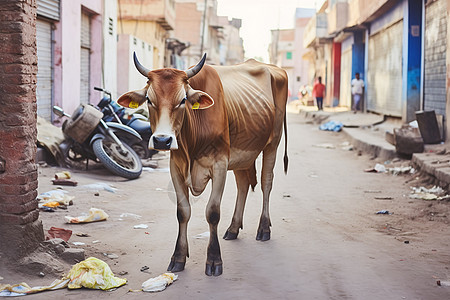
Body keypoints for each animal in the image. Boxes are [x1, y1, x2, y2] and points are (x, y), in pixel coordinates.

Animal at [118, 52, 288, 276]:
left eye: (183, 100)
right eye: (149, 99)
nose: (162, 140)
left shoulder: (220, 164)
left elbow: (213, 212)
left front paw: (214, 259)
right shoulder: (176, 167)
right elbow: (183, 212)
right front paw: (178, 257)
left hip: (272, 144)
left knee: (266, 183)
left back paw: (264, 228)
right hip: (242, 153)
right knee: (243, 185)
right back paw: (233, 228)